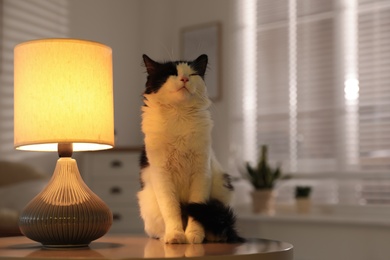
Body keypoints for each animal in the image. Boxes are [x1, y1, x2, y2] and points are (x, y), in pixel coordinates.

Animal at [136, 54, 242, 244]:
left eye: (192, 74)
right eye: (171, 73)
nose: (184, 79)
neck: (179, 116)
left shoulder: (201, 172)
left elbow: (195, 213)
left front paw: (193, 235)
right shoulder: (162, 175)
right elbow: (172, 211)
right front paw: (175, 235)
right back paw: (165, 236)